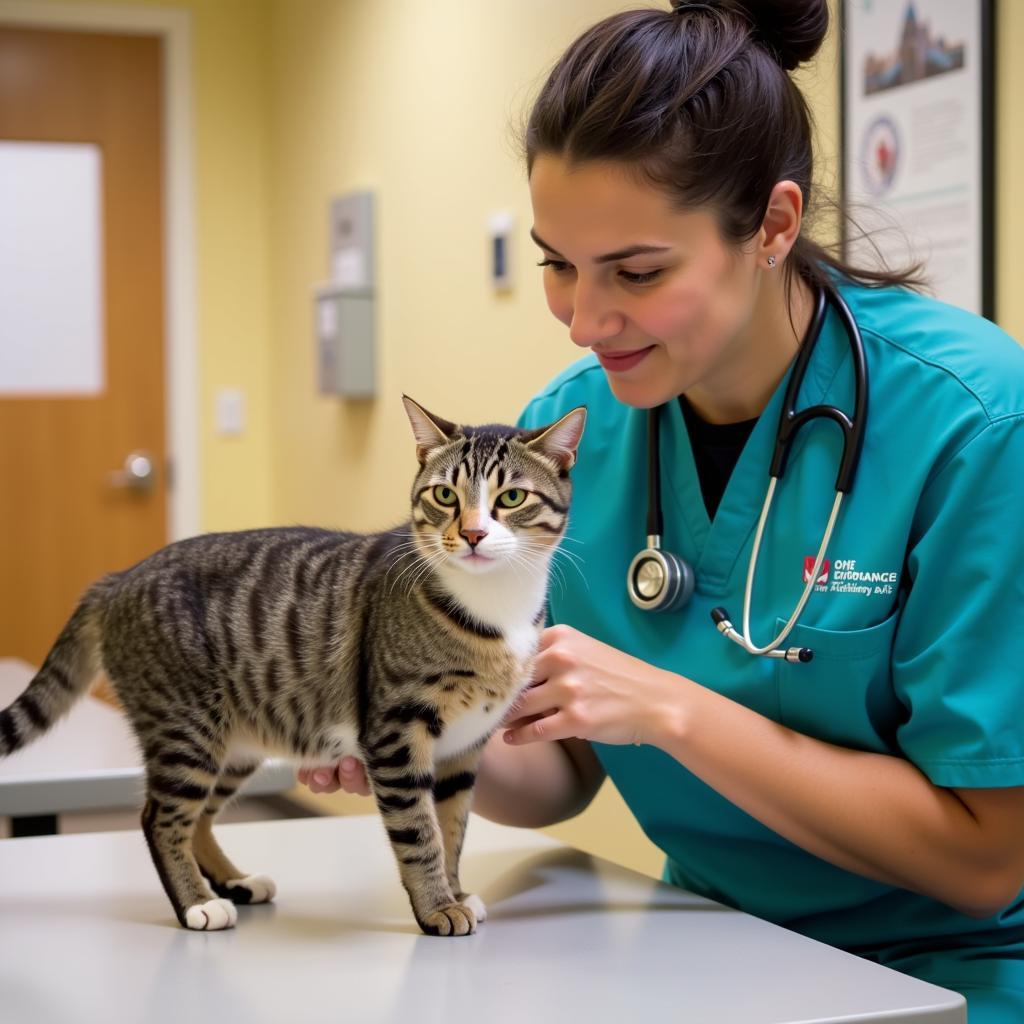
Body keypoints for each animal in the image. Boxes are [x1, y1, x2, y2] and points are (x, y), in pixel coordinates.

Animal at [0, 397, 589, 937]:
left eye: (511, 497)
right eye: (445, 495)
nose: (471, 534)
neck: (494, 607)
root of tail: (118, 578)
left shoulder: (465, 749)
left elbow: (453, 827)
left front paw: (457, 889)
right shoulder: (397, 733)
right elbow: (419, 832)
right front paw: (438, 906)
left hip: (235, 741)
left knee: (200, 817)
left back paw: (234, 881)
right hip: (185, 727)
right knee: (161, 819)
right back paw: (197, 904)